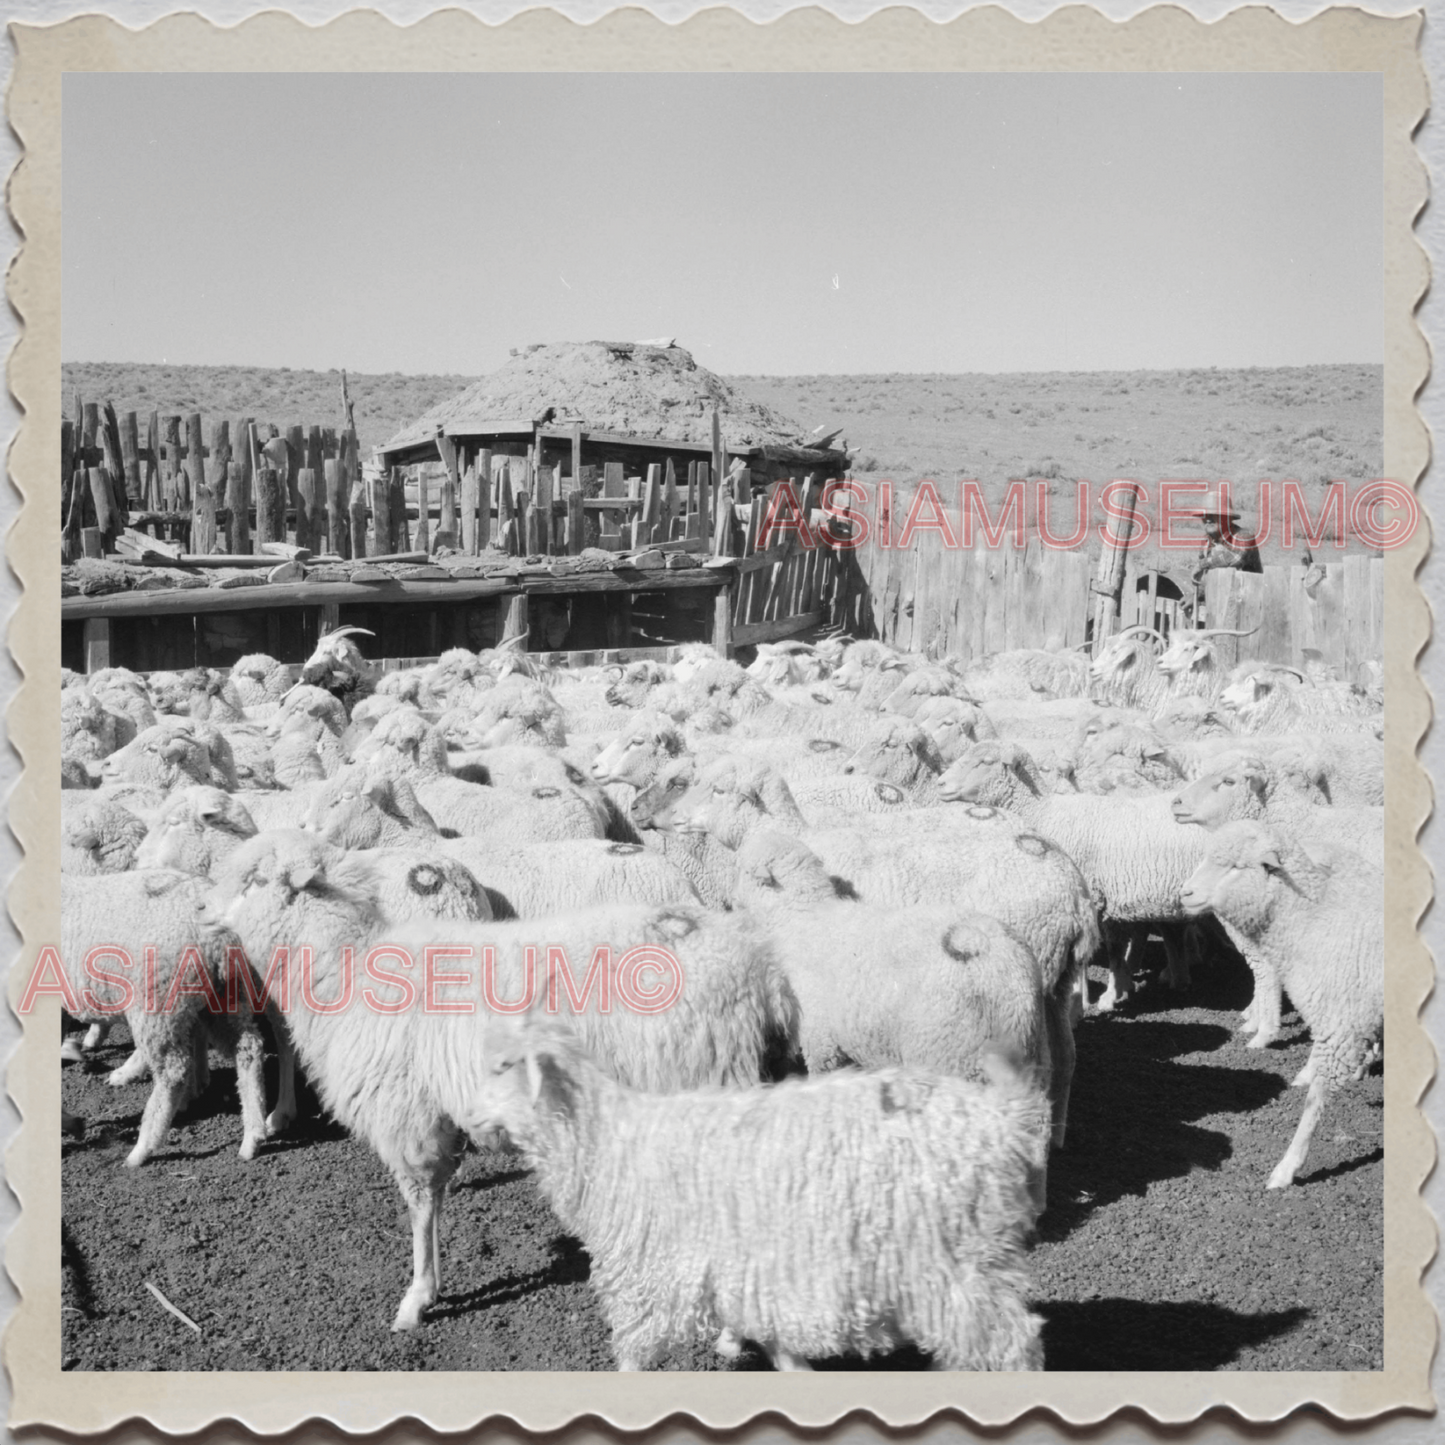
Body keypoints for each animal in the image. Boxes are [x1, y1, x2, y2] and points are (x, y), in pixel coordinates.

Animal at [56, 867, 270, 1161]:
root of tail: (222, 938)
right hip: (224, 994)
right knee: (248, 1047)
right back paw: (253, 1136)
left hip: (159, 1001)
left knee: (173, 1070)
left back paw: (144, 1147)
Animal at [203, 838, 797, 1329]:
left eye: (254, 879)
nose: (203, 913)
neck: (347, 964)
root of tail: (763, 977)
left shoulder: (408, 1115)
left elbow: (420, 1204)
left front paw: (417, 1298)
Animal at [468, 1011, 1046, 1369]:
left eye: (504, 1067)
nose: (469, 1120)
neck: (605, 1140)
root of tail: (1001, 1115)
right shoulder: (738, 1263)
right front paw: (748, 1349)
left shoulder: (650, 1273)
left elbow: (633, 1348)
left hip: (955, 1262)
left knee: (1014, 1341)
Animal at [1179, 820, 1381, 1190]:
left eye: (1236, 866)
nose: (1185, 893)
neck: (1316, 916)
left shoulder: (1341, 1024)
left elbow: (1314, 1103)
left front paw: (1287, 1168)